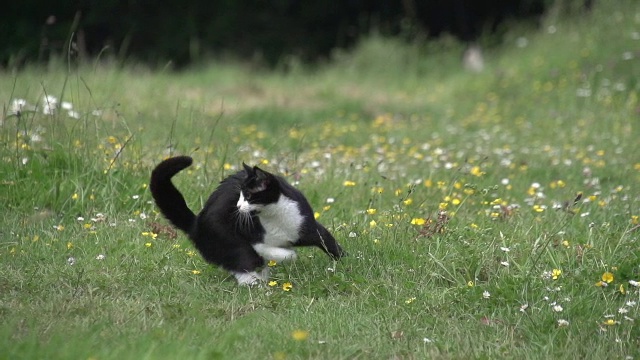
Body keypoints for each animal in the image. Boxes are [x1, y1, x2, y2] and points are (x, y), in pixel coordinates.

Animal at [149, 156, 344, 286]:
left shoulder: (308, 226)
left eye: (248, 196)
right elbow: (280, 253)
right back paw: (256, 283)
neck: (276, 216)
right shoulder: (254, 239)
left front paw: (345, 263)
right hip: (227, 239)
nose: (237, 205)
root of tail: (196, 224)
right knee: (243, 260)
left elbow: (330, 243)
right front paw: (288, 255)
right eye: (240, 195)